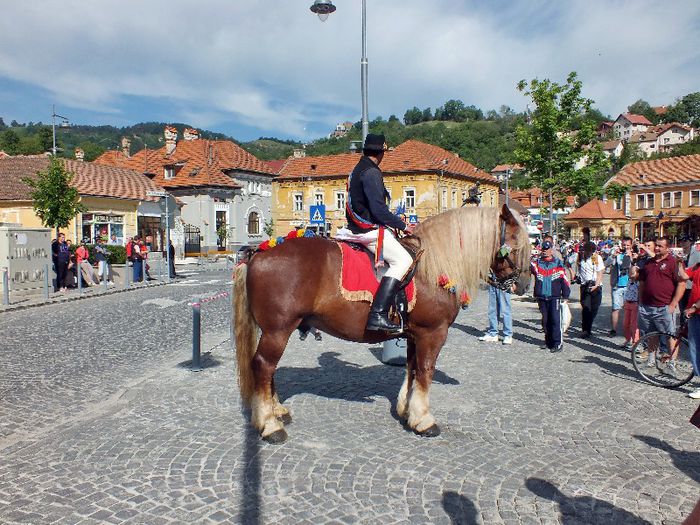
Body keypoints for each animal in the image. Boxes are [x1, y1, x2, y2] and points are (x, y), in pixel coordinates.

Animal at [232, 203, 528, 440]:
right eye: (517, 244)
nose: (524, 284)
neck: (434, 266)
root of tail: (259, 252)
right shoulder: (433, 333)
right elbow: (426, 371)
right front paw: (424, 420)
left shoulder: (414, 334)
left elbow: (411, 369)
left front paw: (406, 411)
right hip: (278, 330)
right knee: (263, 366)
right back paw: (270, 425)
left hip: (276, 330)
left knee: (269, 369)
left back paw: (277, 411)